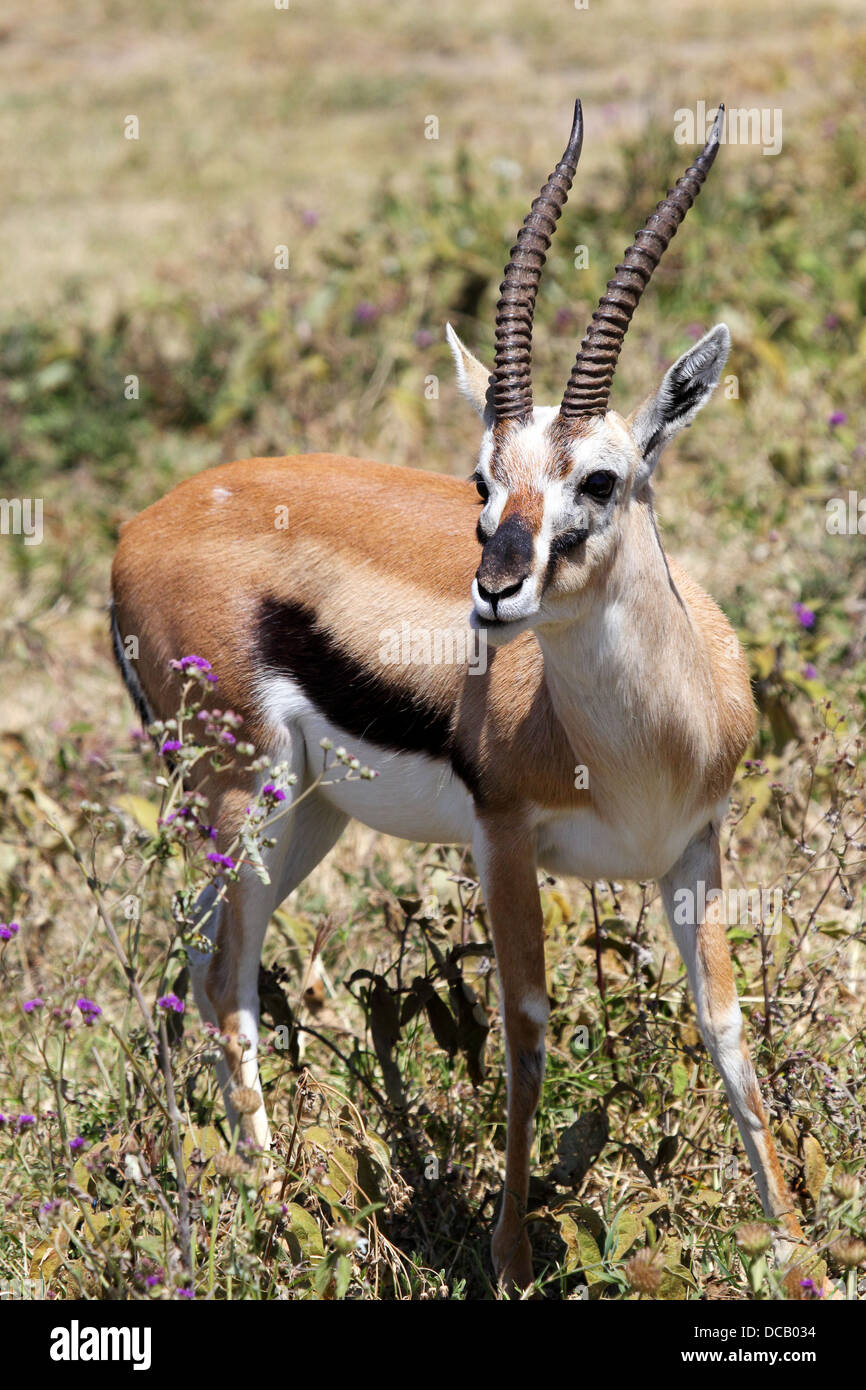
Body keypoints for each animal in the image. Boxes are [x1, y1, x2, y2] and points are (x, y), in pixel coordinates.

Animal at [110, 100, 813, 1293]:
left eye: (600, 479)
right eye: (482, 480)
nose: (493, 591)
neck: (635, 746)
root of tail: (138, 530)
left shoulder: (695, 847)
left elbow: (725, 1028)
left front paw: (796, 1245)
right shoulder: (504, 839)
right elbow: (527, 1030)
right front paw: (511, 1254)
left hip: (302, 818)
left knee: (191, 961)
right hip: (242, 797)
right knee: (227, 980)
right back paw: (271, 1209)